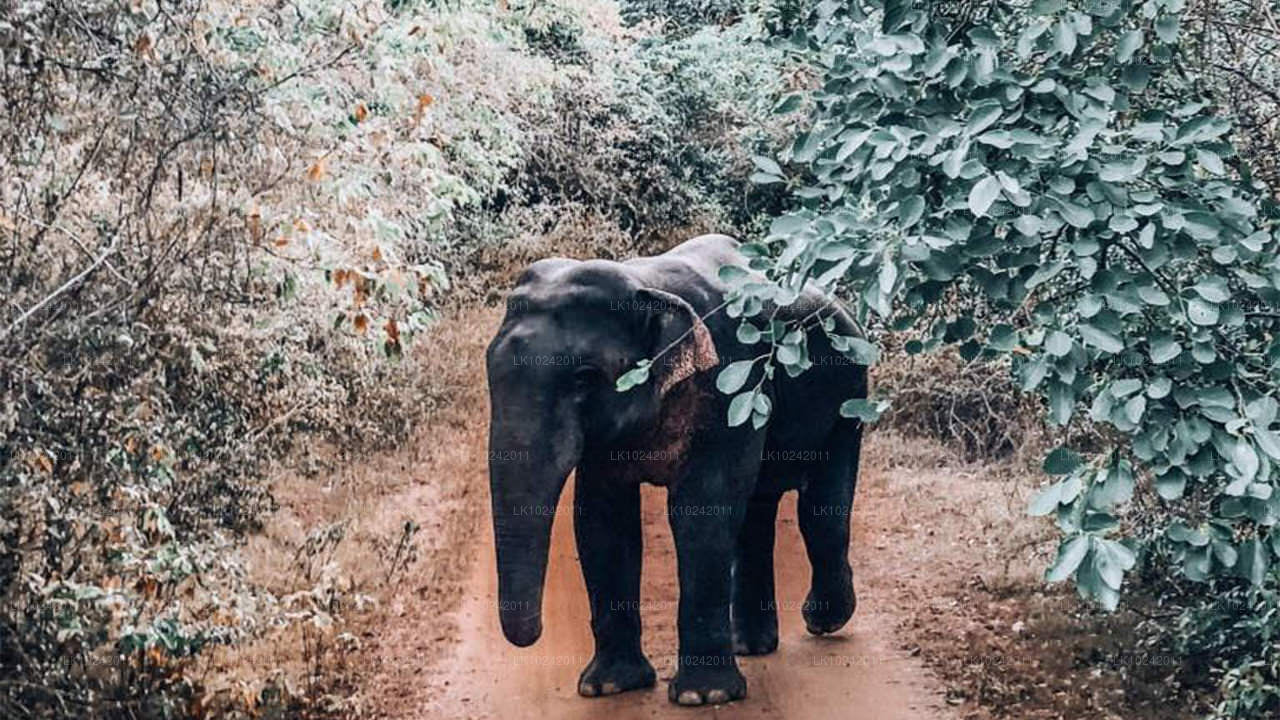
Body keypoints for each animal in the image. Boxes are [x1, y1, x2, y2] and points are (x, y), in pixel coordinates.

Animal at [483, 233, 865, 702]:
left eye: (584, 378)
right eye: (489, 371)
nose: (531, 637)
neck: (644, 281)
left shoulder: (729, 386)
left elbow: (701, 513)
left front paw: (704, 697)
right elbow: (602, 521)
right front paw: (609, 686)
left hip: (849, 396)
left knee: (820, 511)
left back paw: (823, 621)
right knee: (757, 513)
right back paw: (750, 645)